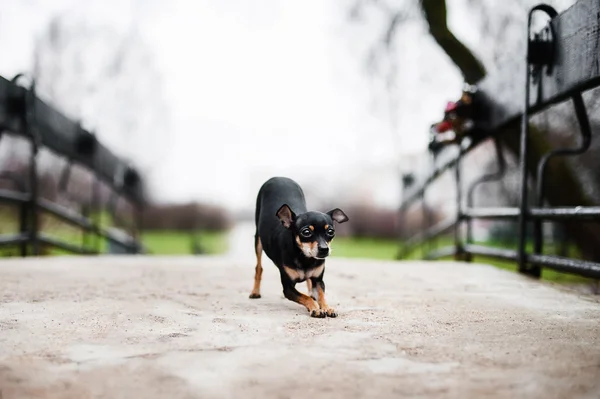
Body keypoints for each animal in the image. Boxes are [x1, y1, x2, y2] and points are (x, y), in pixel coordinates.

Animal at [248, 177, 350, 318]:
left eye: (331, 232)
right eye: (306, 232)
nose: (324, 249)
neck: (305, 258)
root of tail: (279, 177)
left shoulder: (319, 280)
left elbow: (321, 295)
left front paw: (327, 307)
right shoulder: (288, 288)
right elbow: (304, 297)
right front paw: (316, 308)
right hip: (258, 241)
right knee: (258, 267)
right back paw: (255, 292)